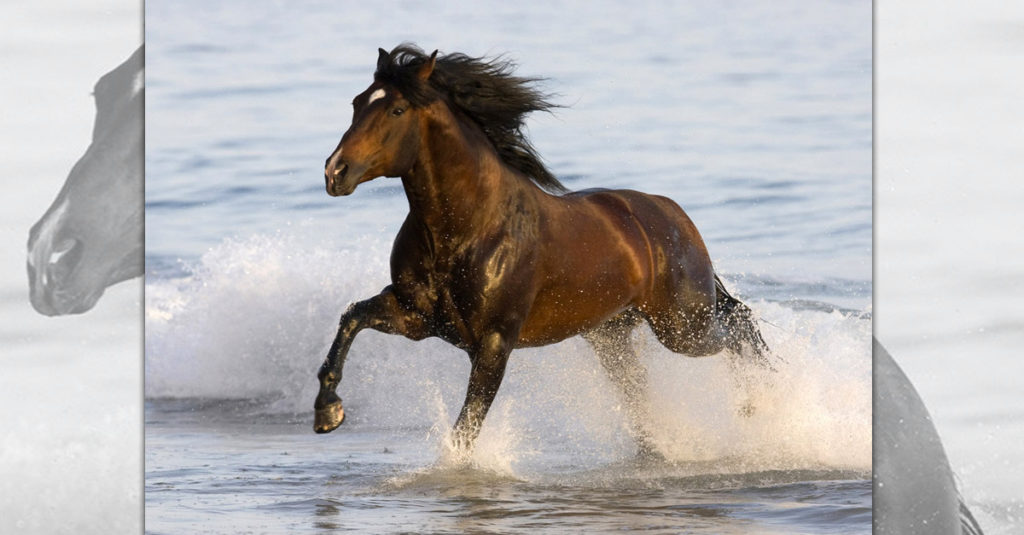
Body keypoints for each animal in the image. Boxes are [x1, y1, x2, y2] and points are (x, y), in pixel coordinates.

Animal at [313, 44, 771, 453]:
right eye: (356, 103)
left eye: (396, 111)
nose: (335, 172)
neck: (468, 228)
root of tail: (673, 214)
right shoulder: (416, 317)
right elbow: (352, 317)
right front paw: (327, 413)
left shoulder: (495, 341)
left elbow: (467, 426)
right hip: (612, 334)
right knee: (643, 386)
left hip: (682, 325)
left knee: (740, 327)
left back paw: (757, 406)